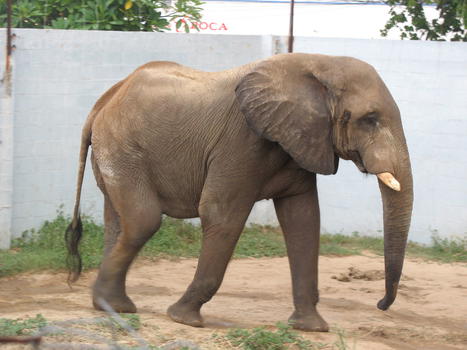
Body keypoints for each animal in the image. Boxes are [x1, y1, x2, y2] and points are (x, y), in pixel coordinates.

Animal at [65, 53, 414, 332]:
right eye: (370, 119)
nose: (381, 305)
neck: (319, 63)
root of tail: (105, 99)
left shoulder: (299, 141)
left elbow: (303, 219)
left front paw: (311, 328)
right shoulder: (241, 141)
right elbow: (222, 214)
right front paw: (184, 319)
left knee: (119, 222)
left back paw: (111, 306)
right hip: (122, 148)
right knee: (143, 221)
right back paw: (113, 305)